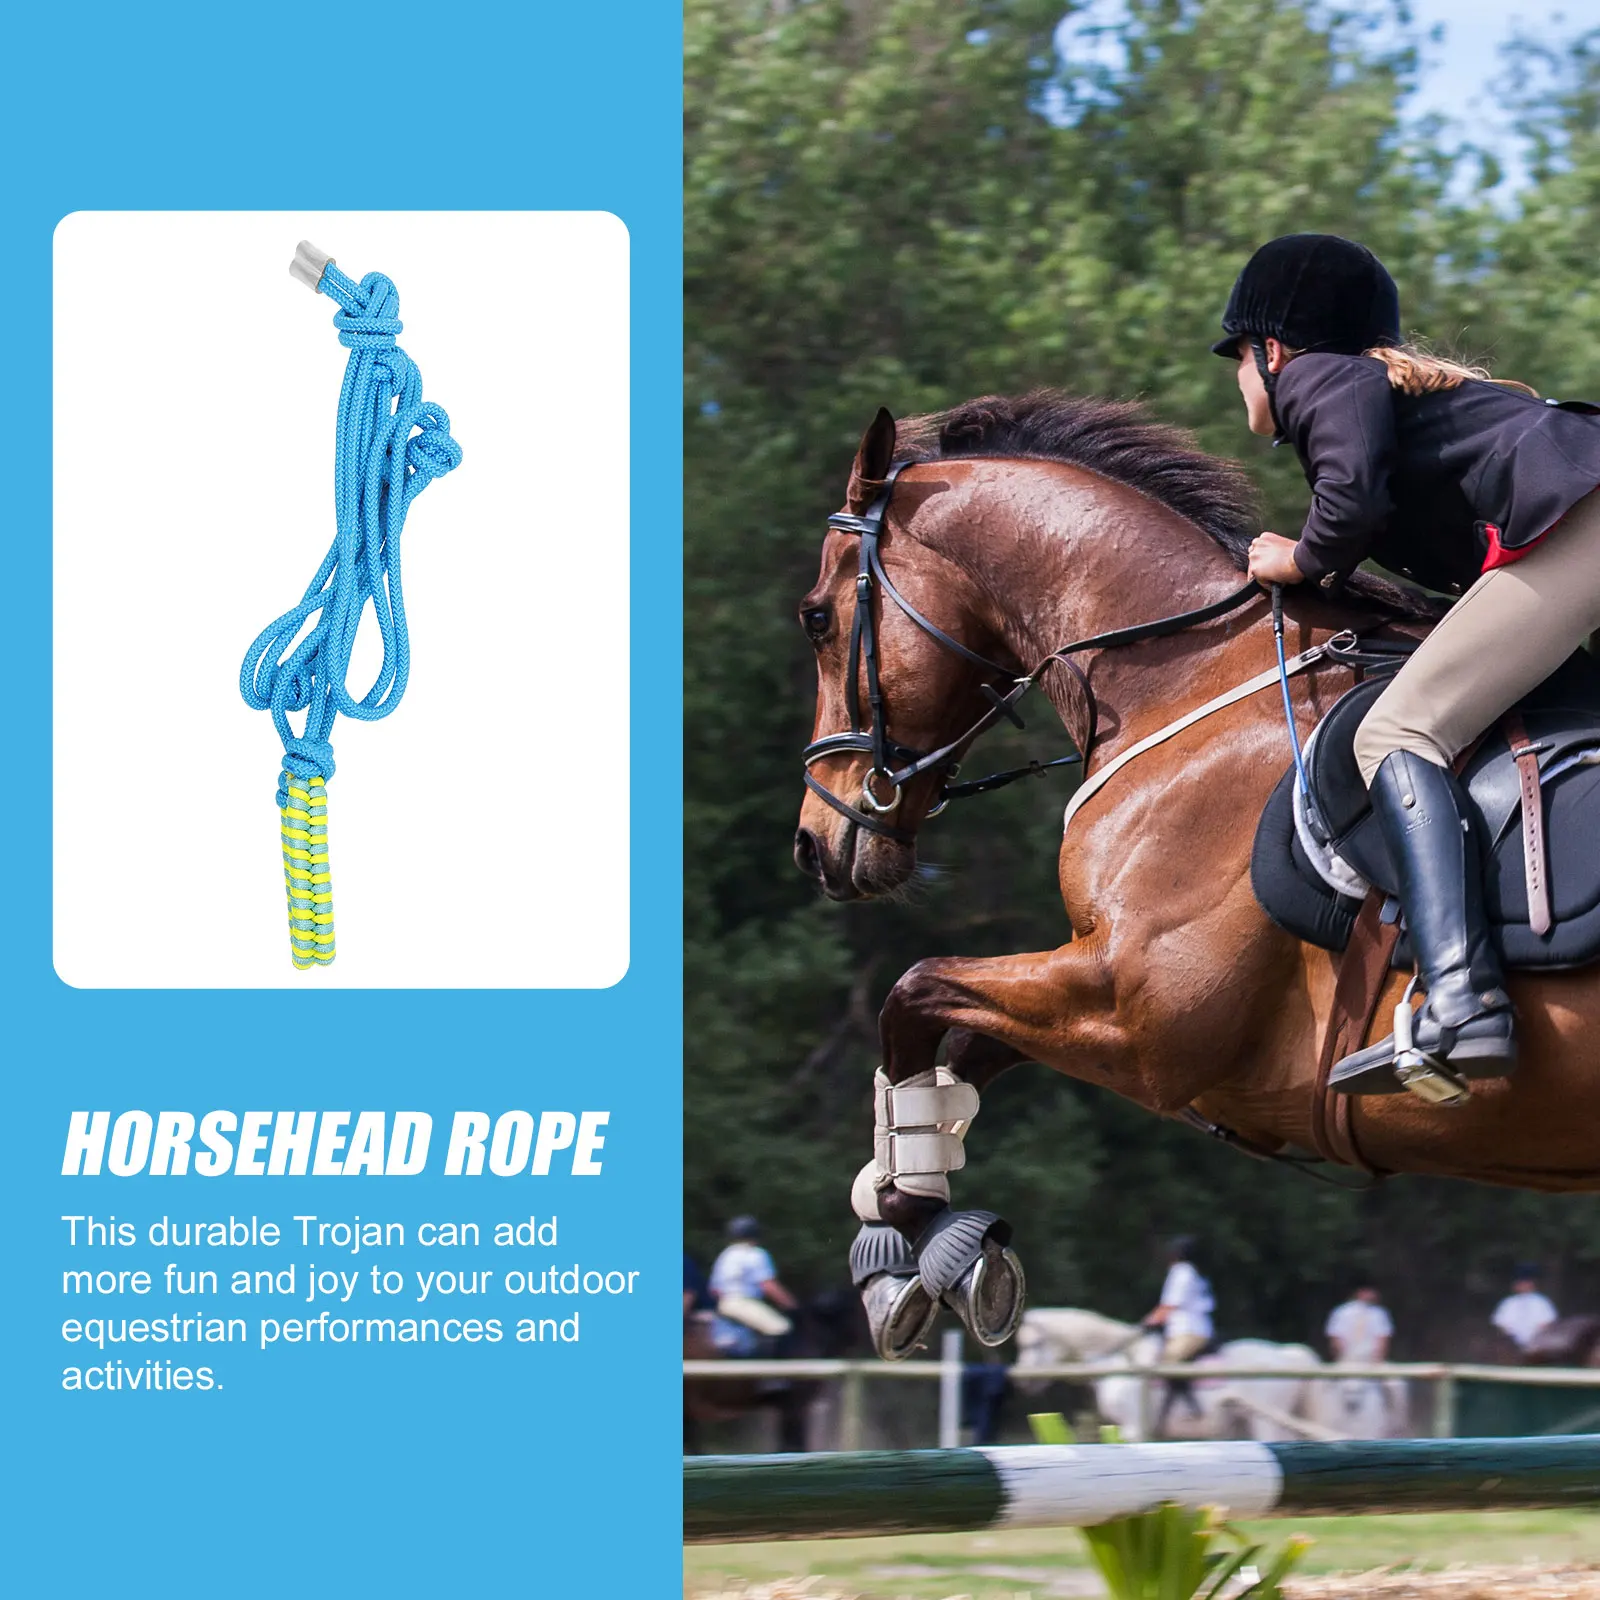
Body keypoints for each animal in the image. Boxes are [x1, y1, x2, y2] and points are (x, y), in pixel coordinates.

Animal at [793, 393, 1600, 1362]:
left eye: (816, 617)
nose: (814, 841)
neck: (1187, 674)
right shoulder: (1102, 988)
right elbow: (959, 1055)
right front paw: (908, 1225)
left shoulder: (1146, 1016)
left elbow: (913, 995)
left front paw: (911, 1238)